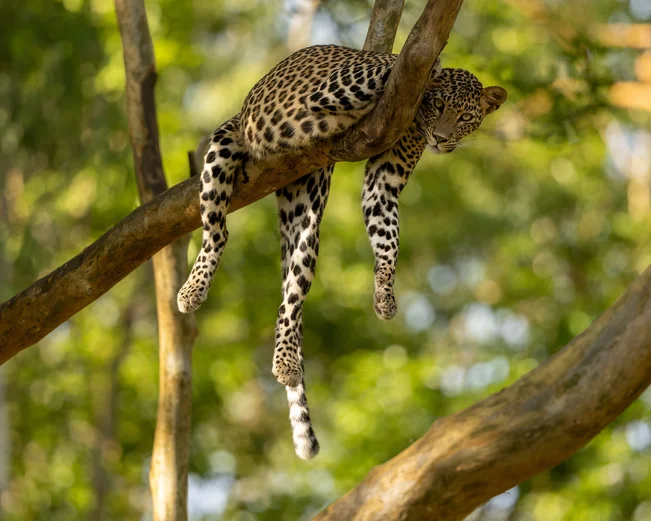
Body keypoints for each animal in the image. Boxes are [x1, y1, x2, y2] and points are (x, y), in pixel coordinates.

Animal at [176, 44, 507, 460]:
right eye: (437, 104)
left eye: (464, 117)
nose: (440, 138)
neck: (411, 117)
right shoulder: (340, 87)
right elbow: (398, 63)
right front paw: (432, 63)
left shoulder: (384, 180)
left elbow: (388, 238)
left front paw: (384, 294)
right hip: (225, 144)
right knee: (217, 231)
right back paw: (192, 290)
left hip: (306, 214)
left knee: (291, 295)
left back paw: (286, 360)